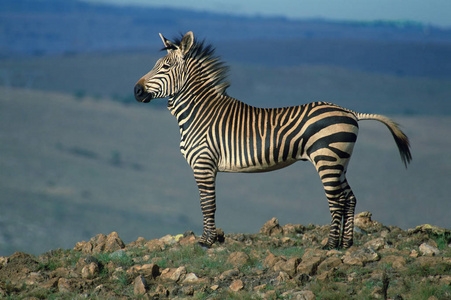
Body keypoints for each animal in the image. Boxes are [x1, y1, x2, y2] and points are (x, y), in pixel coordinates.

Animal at [132, 31, 412, 250]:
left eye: (165, 67)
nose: (136, 91)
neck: (199, 112)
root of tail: (351, 112)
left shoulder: (203, 164)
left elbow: (207, 204)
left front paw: (206, 242)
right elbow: (208, 204)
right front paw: (209, 240)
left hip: (327, 159)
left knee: (337, 201)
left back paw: (331, 245)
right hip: (340, 161)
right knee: (350, 198)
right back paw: (347, 243)